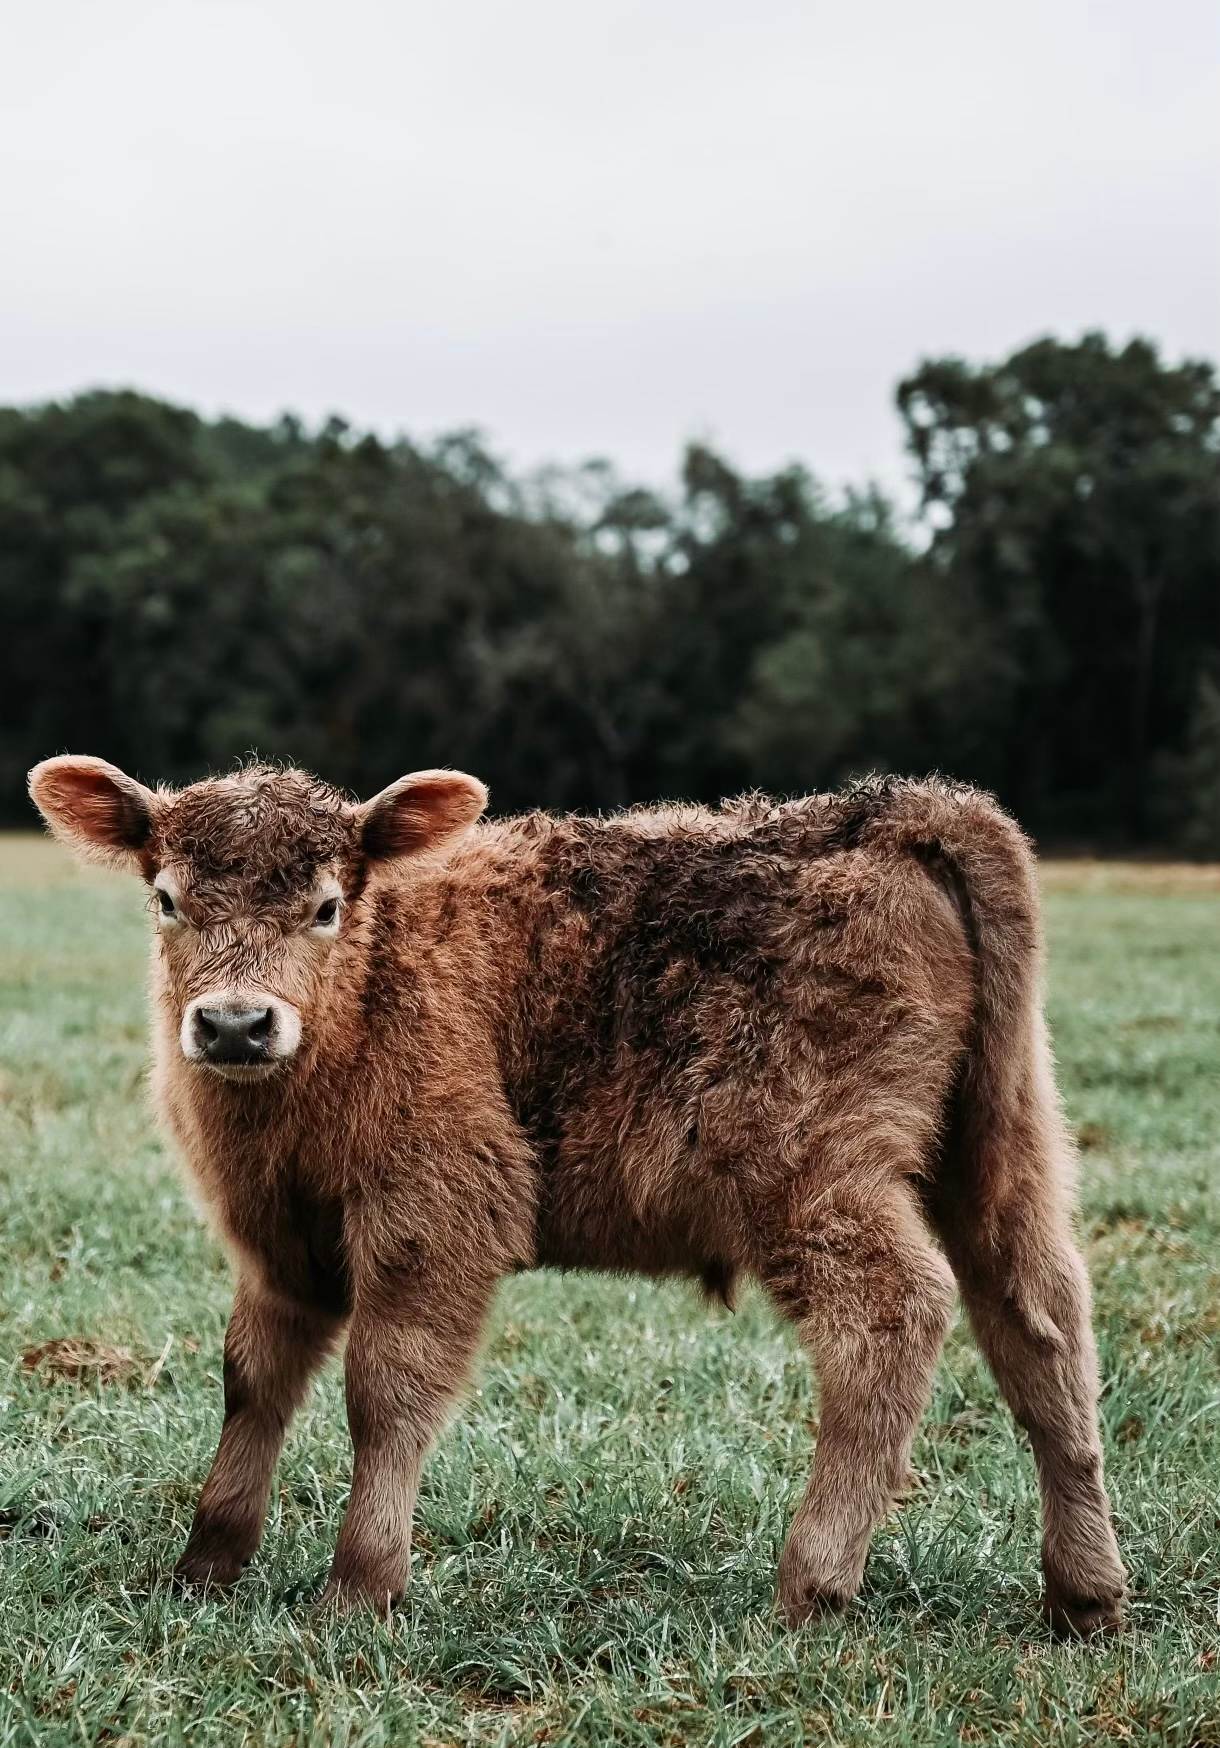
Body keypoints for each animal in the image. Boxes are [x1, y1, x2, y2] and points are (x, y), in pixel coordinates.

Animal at [28, 754, 1126, 1634]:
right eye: (167, 898)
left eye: (327, 904)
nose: (234, 1024)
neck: (368, 993)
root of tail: (896, 808)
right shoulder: (279, 1239)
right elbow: (253, 1378)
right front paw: (206, 1563)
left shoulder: (437, 1211)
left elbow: (385, 1388)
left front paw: (359, 1584)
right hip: (1001, 1148)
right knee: (1040, 1320)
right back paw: (1084, 1595)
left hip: (813, 1170)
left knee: (893, 1314)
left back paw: (811, 1583)